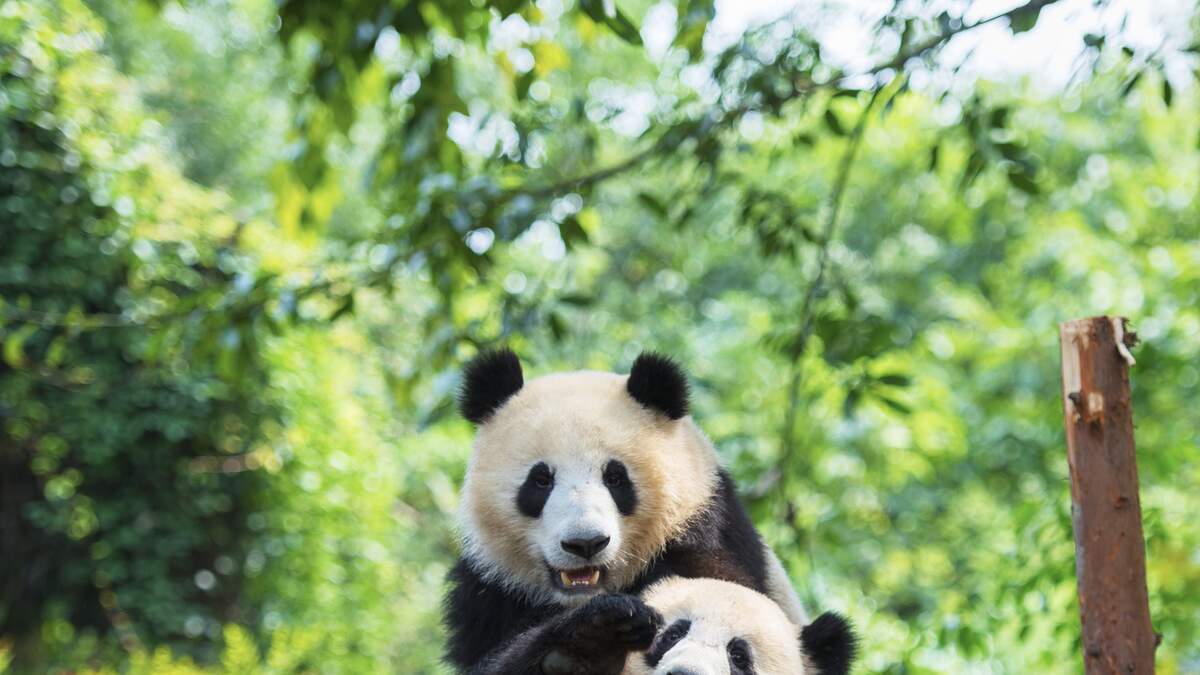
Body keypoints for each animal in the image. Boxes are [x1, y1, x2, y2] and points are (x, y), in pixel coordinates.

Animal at [441, 348, 806, 672]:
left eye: (615, 478)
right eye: (541, 480)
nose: (585, 543)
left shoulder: (705, 542)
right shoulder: (491, 595)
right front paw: (587, 642)